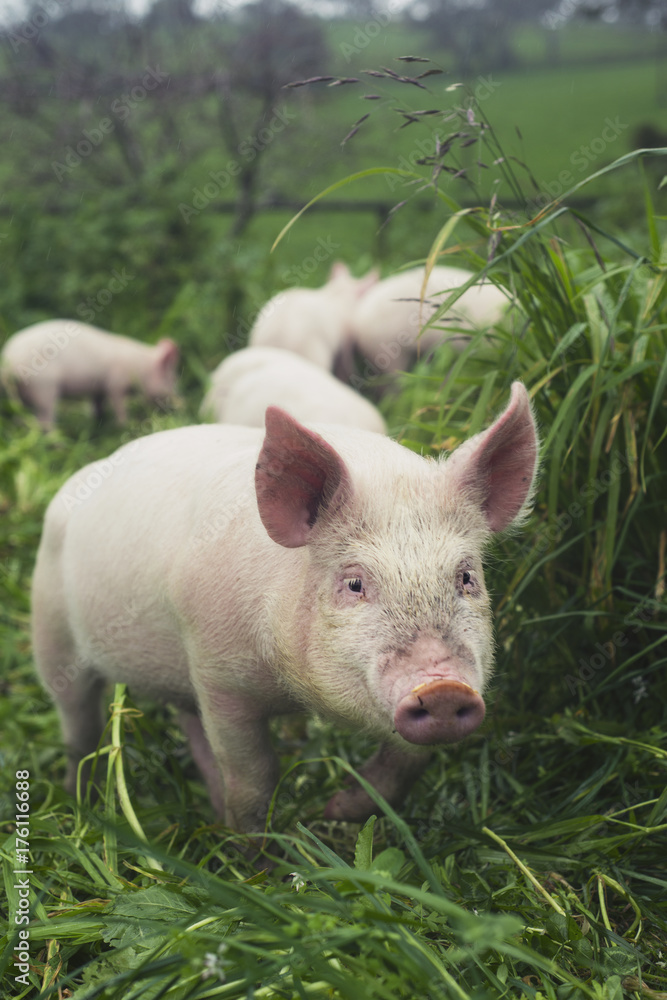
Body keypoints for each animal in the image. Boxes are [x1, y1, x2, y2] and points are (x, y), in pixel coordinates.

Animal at [0, 320, 180, 430]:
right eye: (171, 378)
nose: (182, 405)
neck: (140, 368)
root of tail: (8, 364)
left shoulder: (98, 388)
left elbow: (98, 403)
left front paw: (98, 420)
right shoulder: (115, 383)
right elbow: (119, 405)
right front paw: (124, 424)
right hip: (43, 387)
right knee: (44, 421)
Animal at [34, 378, 540, 832]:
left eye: (466, 577)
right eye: (354, 583)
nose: (443, 689)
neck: (291, 691)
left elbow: (406, 763)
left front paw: (336, 813)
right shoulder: (219, 675)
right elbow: (254, 778)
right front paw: (259, 858)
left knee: (187, 723)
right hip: (52, 631)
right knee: (78, 722)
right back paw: (79, 803)